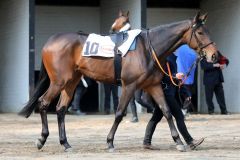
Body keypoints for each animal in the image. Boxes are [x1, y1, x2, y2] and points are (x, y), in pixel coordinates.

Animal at [18, 11, 218, 152]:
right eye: (200, 32)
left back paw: (65, 143)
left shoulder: (153, 86)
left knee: (60, 109)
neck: (148, 48)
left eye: (208, 31)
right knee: (43, 103)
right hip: (59, 81)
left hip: (71, 82)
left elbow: (167, 111)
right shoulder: (129, 85)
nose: (214, 55)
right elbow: (120, 113)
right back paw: (41, 139)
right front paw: (109, 142)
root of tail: (50, 41)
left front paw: (179, 141)